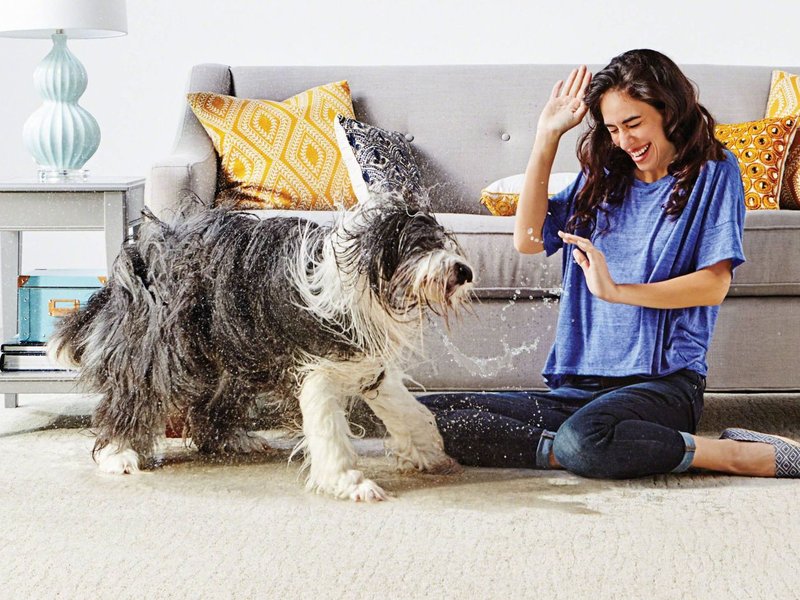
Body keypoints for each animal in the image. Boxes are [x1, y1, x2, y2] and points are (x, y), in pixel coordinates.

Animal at [47, 196, 476, 502]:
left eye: (443, 242)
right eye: (419, 245)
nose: (465, 271)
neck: (355, 271)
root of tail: (137, 254)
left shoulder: (362, 361)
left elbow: (409, 412)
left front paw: (429, 454)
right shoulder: (317, 364)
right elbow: (328, 428)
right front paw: (349, 482)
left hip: (229, 351)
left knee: (213, 402)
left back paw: (233, 439)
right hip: (163, 348)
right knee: (136, 393)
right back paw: (118, 453)